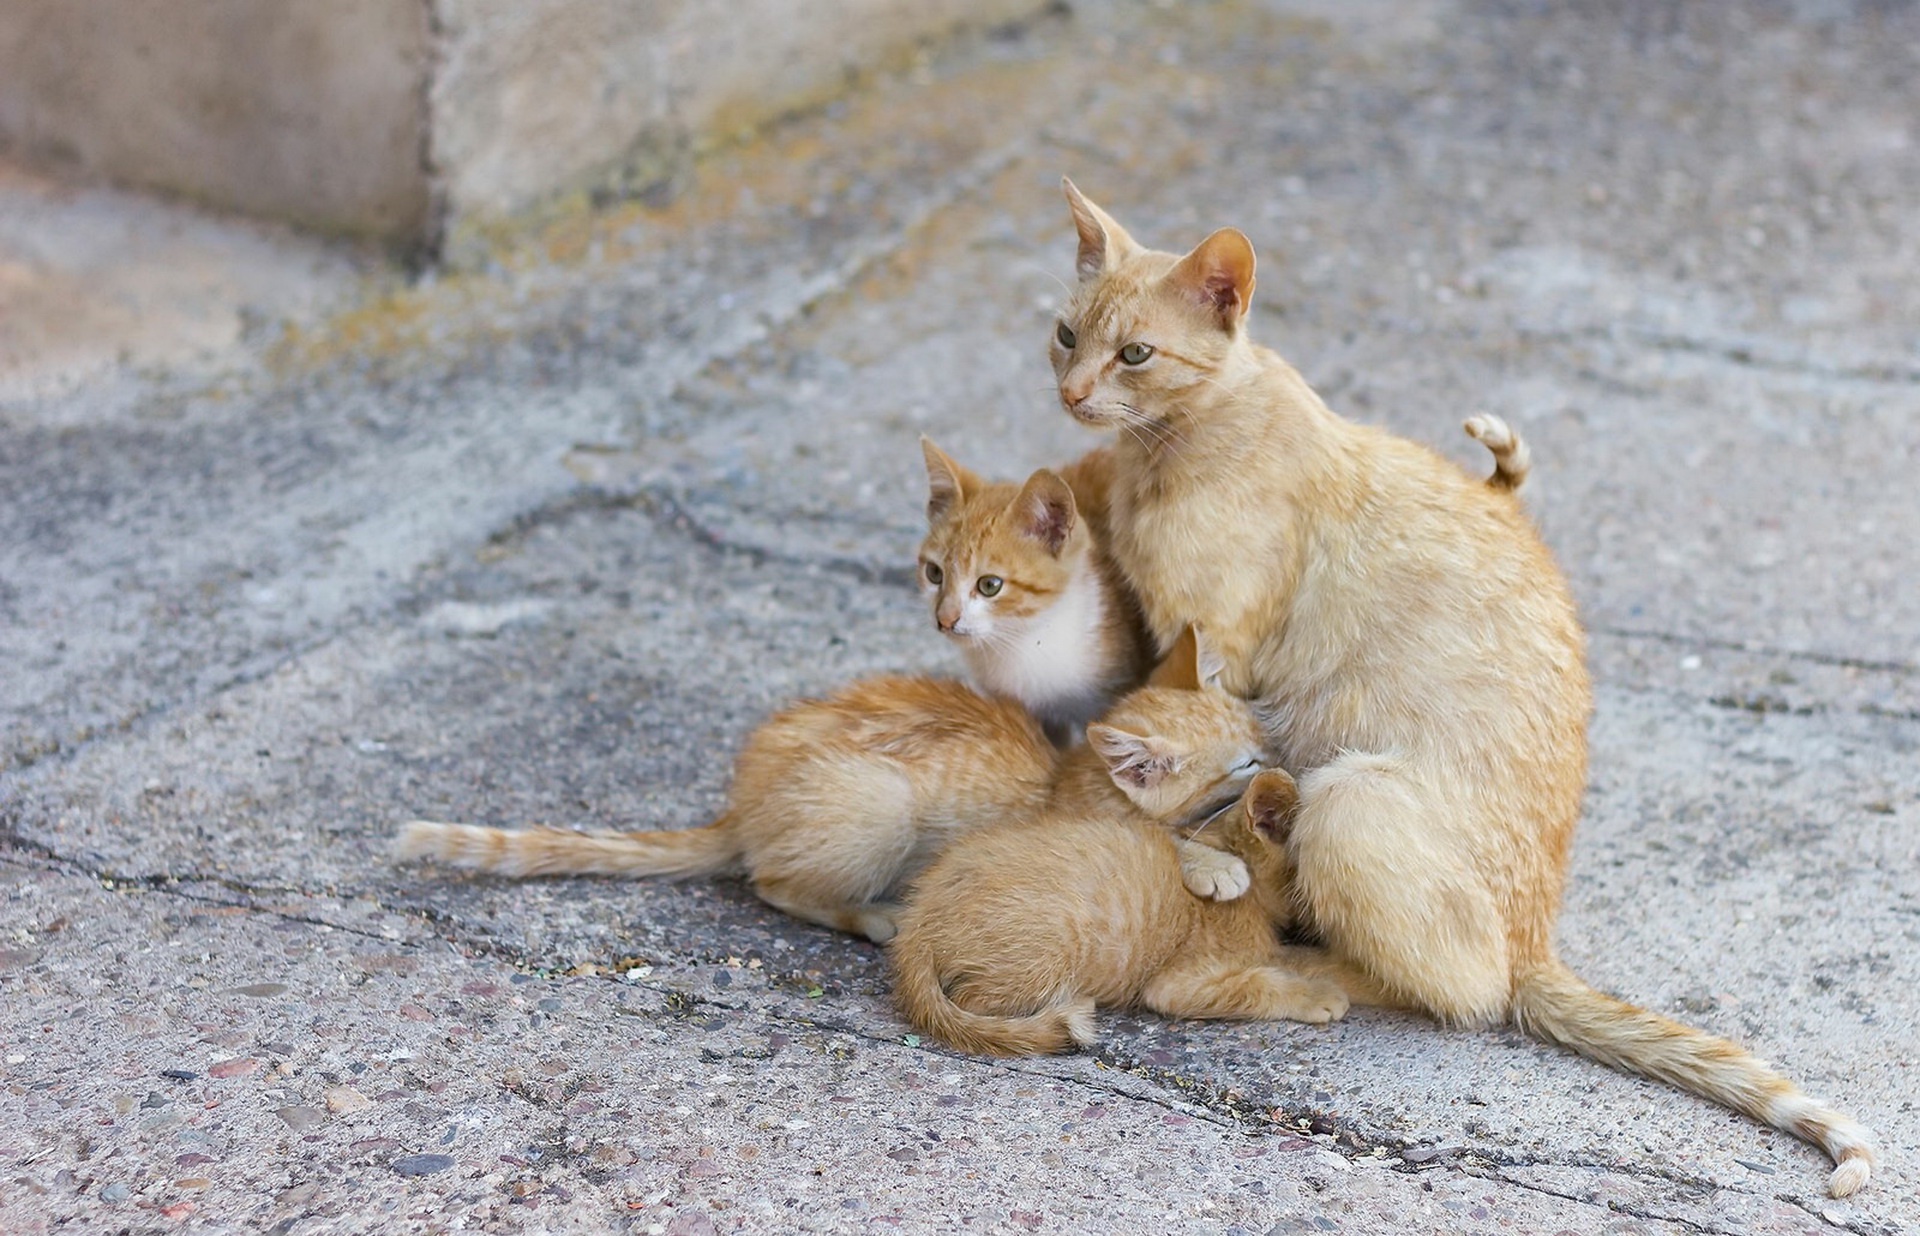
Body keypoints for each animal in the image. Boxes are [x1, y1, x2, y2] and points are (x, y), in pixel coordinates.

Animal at [887, 621, 1367, 1059]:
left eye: (1258, 732)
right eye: (1245, 763)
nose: (1283, 755)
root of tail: (915, 924)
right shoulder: (1176, 984)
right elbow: (1254, 981)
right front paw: (1314, 993)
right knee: (974, 1000)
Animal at [1052, 183, 1873, 1197]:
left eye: (1135, 354)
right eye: (1064, 336)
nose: (1073, 392)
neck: (1165, 452)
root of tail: (1537, 937)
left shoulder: (1214, 648)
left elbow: (1188, 776)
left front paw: (1189, 845)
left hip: (1348, 797)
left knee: (1470, 994)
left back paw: (1317, 964)